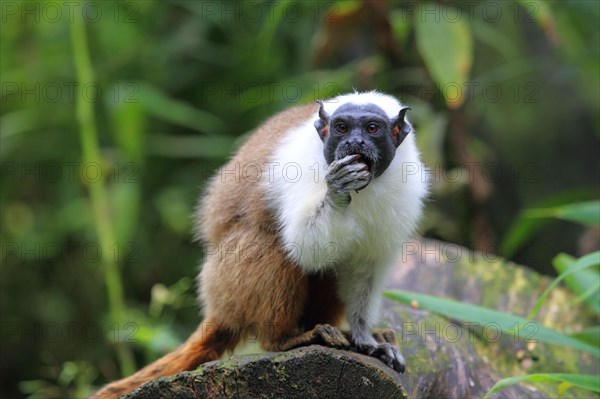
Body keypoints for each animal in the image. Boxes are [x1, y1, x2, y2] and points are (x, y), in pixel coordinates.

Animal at [92, 92, 426, 398]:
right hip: (227, 281)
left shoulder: (407, 185)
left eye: (372, 128)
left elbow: (366, 267)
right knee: (271, 244)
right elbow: (304, 248)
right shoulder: (301, 167)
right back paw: (283, 339)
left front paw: (364, 340)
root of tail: (219, 306)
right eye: (342, 128)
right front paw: (337, 191)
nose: (355, 143)